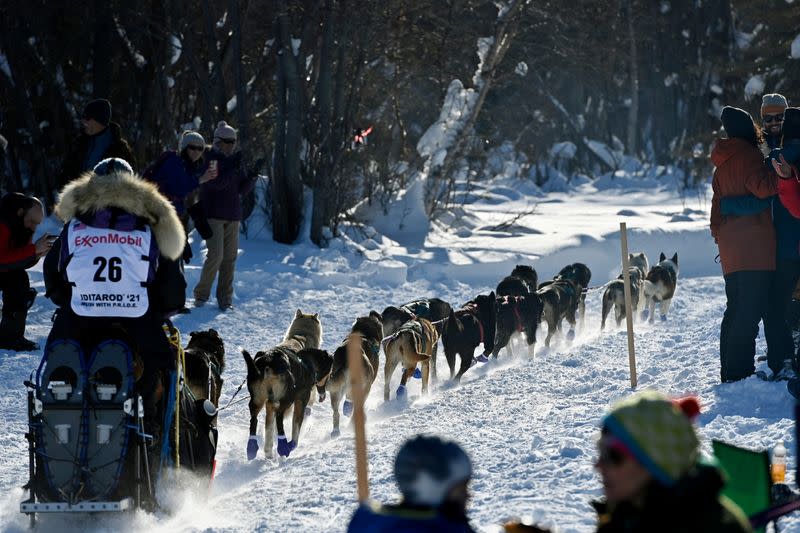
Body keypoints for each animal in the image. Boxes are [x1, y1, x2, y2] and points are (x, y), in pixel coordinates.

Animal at [242, 310, 324, 460]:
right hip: (286, 398)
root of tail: (269, 361)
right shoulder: (301, 398)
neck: (301, 337)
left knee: (255, 419)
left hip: (258, 399)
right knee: (278, 416)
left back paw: (256, 448)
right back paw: (282, 446)